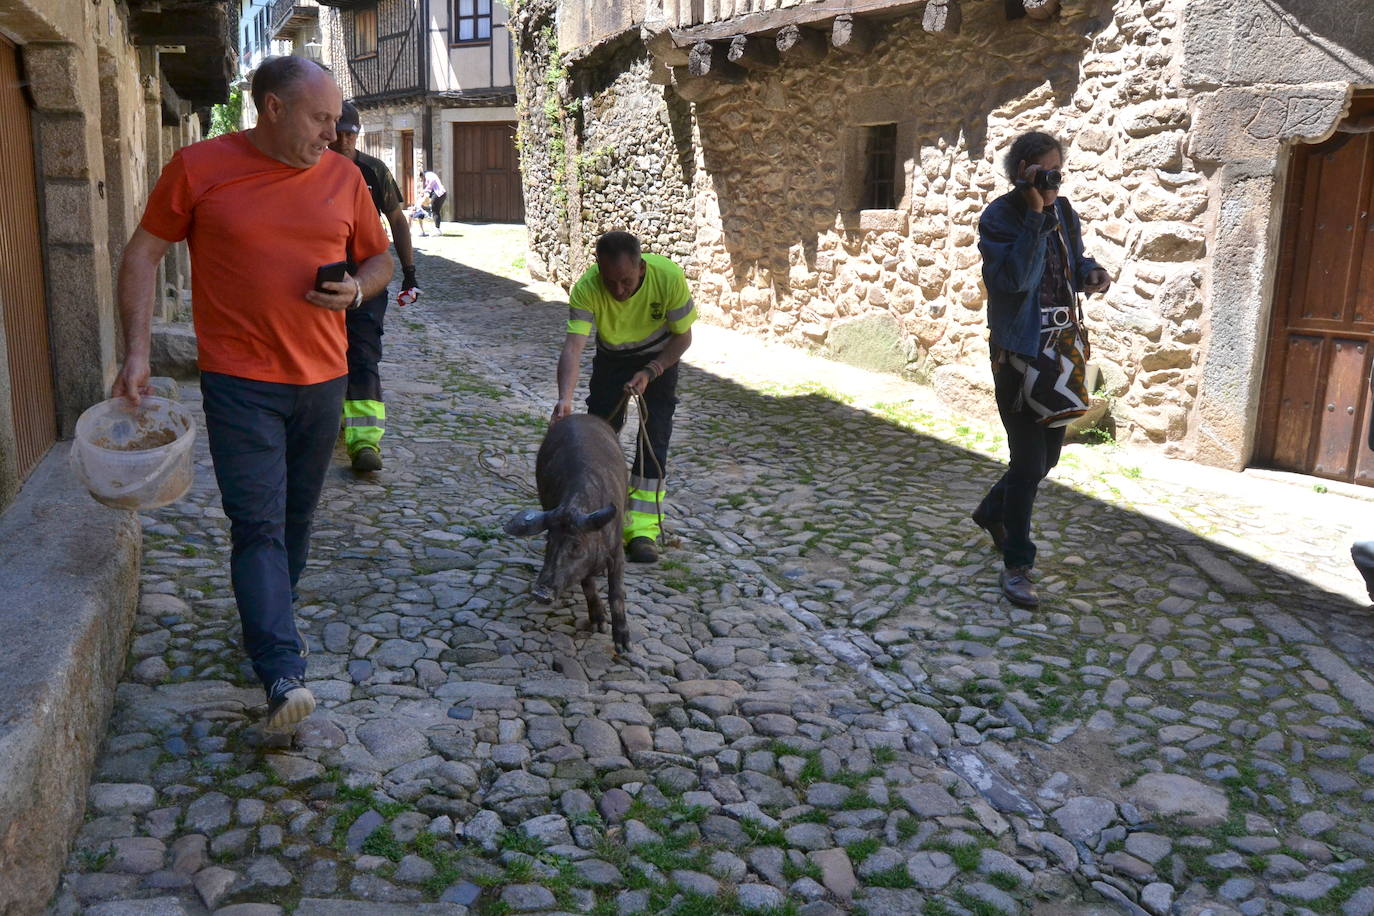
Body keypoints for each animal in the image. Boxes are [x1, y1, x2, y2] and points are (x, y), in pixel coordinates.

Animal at [508, 414, 629, 650]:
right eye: (549, 541)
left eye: (576, 545)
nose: (540, 592)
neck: (575, 507)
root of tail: (579, 415)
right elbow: (587, 584)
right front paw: (598, 625)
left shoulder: (617, 548)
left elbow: (616, 591)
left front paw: (622, 646)